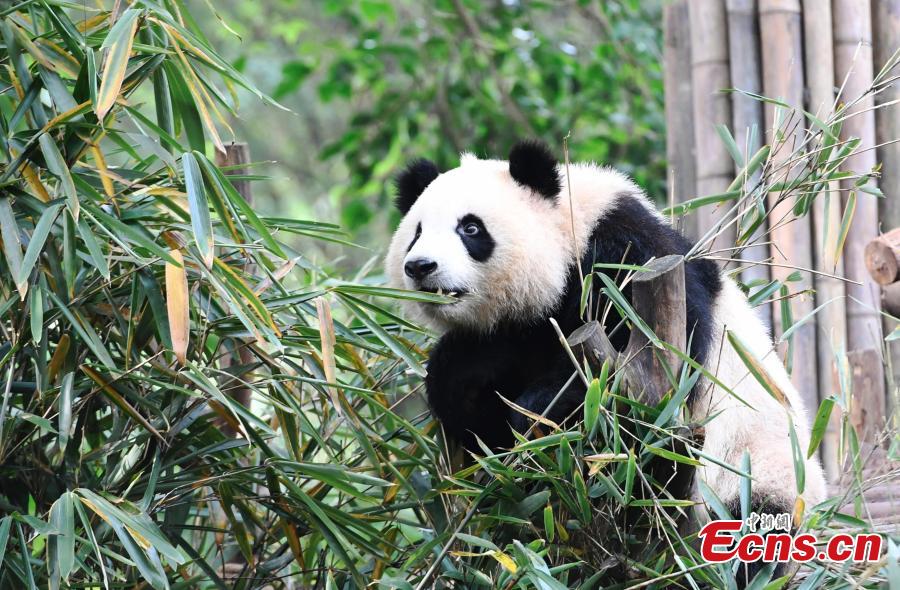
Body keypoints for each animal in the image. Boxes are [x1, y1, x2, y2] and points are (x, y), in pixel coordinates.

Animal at [385, 139, 826, 578]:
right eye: (416, 233)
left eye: (471, 228)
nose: (420, 266)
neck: (573, 227)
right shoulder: (520, 329)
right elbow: (471, 378)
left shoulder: (630, 258)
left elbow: (630, 369)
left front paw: (539, 415)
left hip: (753, 476)